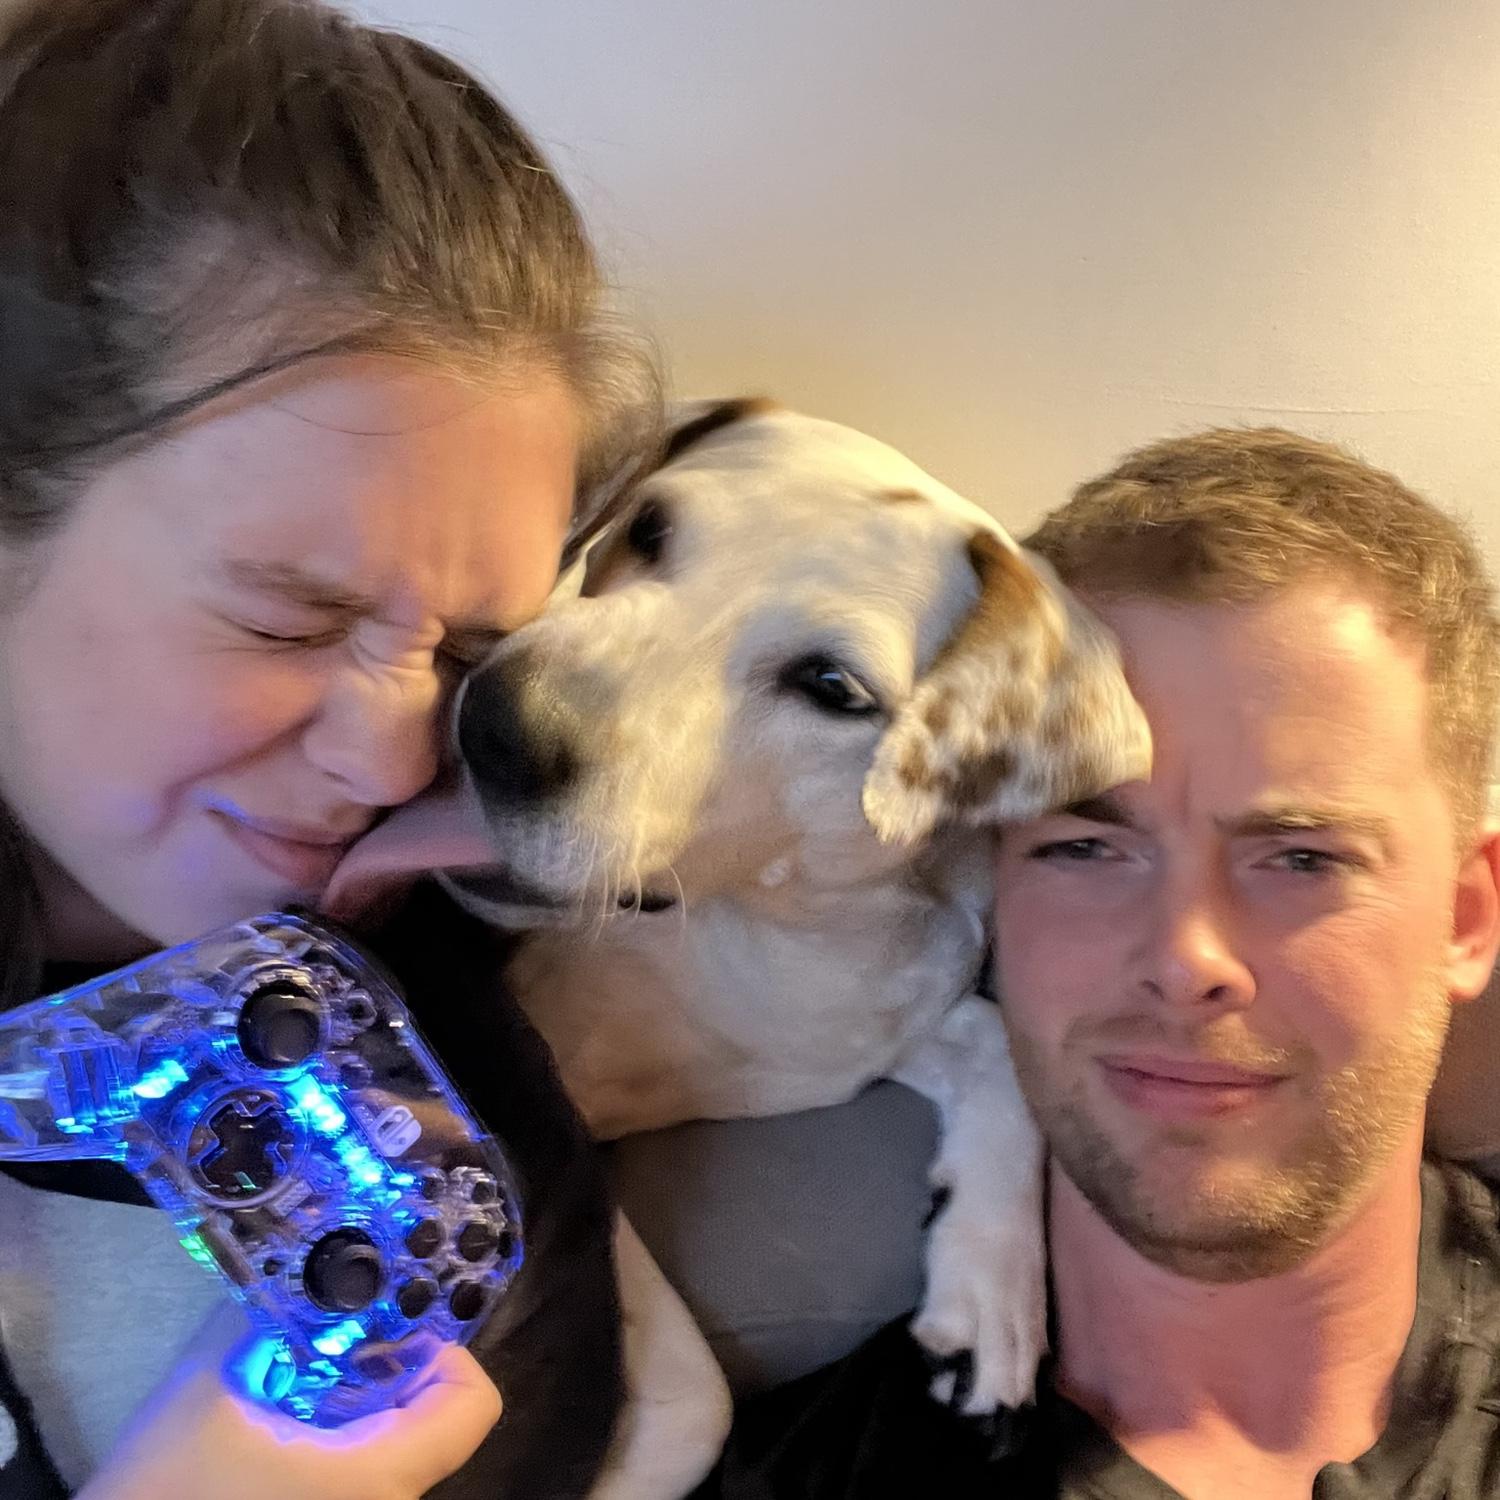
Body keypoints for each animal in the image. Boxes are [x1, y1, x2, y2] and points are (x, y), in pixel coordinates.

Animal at [413, 399, 1151, 1497]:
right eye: (649, 527)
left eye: (832, 685)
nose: (500, 726)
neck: (768, 931)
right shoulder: (556, 1093)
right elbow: (690, 1399)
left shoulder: (869, 1022)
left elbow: (1000, 1053)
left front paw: (988, 1293)